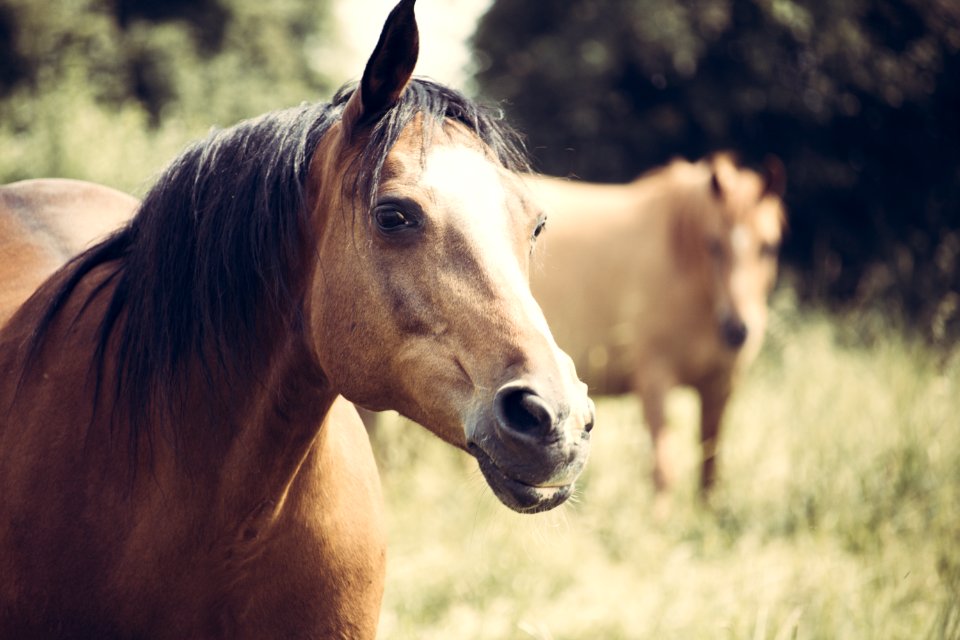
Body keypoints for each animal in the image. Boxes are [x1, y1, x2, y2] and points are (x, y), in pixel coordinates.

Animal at [528, 152, 784, 498]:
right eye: (713, 244)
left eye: (769, 247)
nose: (737, 329)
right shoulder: (654, 380)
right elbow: (664, 471)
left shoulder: (720, 385)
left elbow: (710, 466)